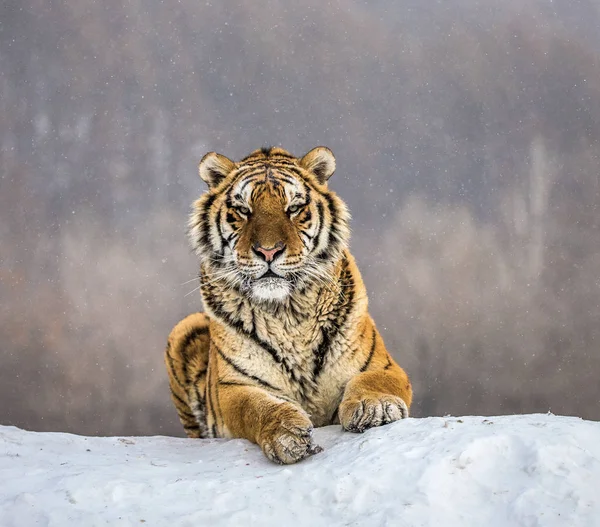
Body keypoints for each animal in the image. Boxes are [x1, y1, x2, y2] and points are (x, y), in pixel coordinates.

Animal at [166, 146, 414, 464]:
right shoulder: (233, 388)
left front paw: (375, 408)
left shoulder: (384, 365)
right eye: (243, 210)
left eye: (293, 208)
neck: (287, 313)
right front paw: (287, 433)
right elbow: (256, 407)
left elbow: (373, 381)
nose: (268, 251)